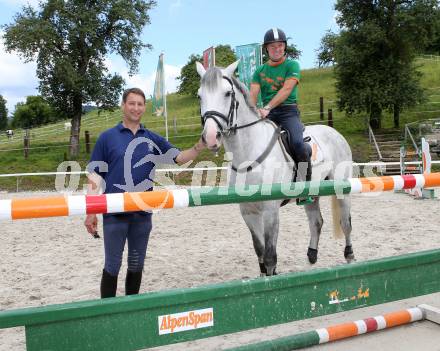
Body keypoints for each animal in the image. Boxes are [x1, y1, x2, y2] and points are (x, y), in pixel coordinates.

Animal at [196, 60, 354, 276]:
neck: (249, 153)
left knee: (346, 223)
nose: (211, 137)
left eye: (228, 93)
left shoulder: (270, 210)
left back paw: (349, 255)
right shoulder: (248, 211)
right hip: (312, 193)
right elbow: (260, 251)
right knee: (316, 222)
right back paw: (311, 256)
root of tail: (334, 132)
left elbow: (270, 255)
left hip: (341, 191)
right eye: (199, 96)